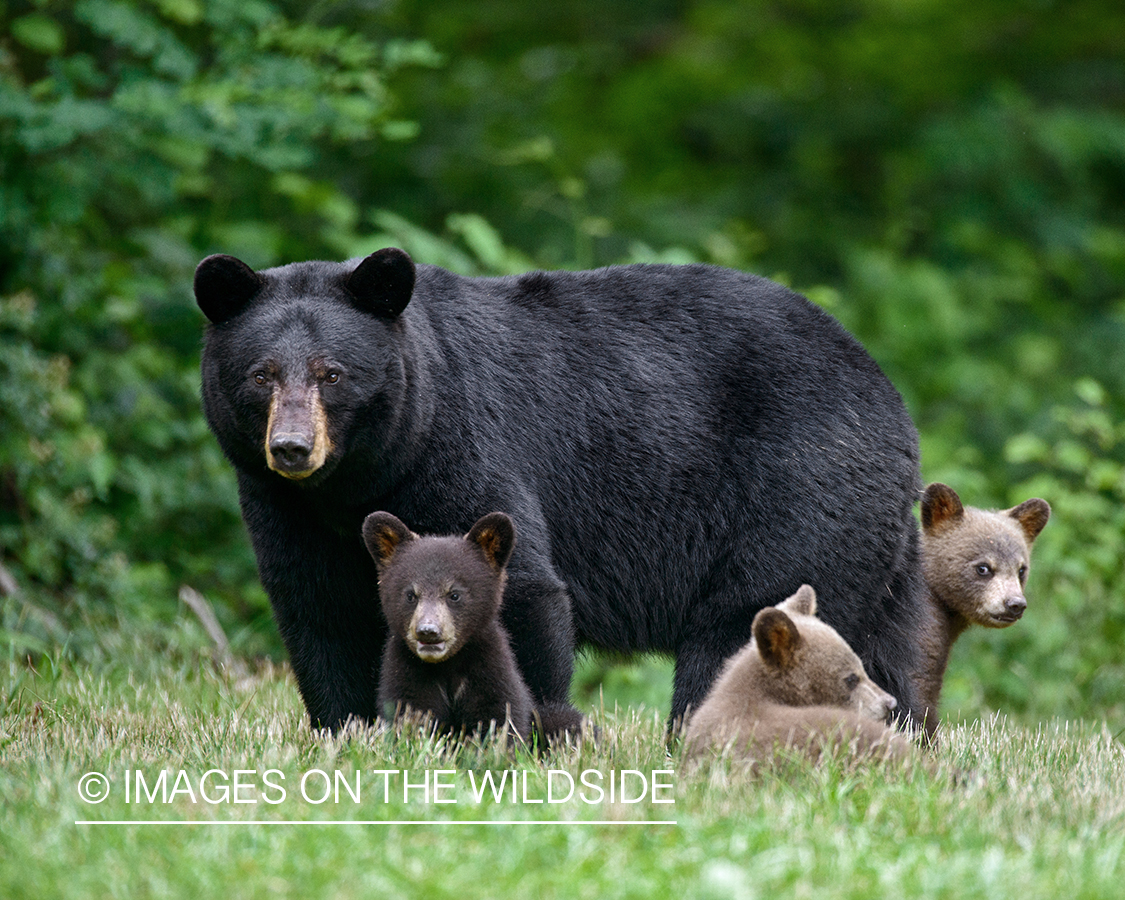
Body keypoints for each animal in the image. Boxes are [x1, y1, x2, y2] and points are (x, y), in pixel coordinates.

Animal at [198, 246, 927, 729]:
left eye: (332, 373)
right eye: (261, 374)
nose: (292, 448)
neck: (356, 479)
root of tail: (885, 389)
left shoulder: (459, 448)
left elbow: (515, 588)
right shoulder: (284, 508)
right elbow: (320, 611)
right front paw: (351, 736)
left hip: (798, 488)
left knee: (746, 619)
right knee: (891, 650)